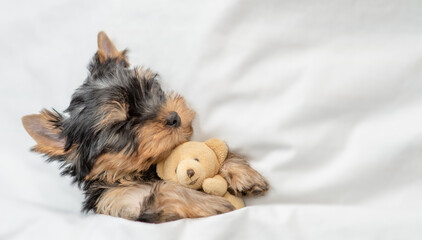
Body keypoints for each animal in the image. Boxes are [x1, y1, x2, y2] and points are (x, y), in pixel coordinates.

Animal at [21, 31, 268, 223]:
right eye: (121, 126)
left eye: (149, 90)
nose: (174, 117)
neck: (138, 172)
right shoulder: (123, 201)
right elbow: (167, 189)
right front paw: (211, 202)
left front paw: (241, 173)